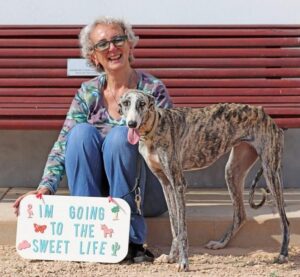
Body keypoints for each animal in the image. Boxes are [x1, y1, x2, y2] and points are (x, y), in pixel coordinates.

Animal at [118, 89, 290, 270]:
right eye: (126, 103)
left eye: (142, 104)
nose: (131, 124)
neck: (155, 127)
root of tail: (266, 115)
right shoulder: (165, 183)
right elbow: (174, 226)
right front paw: (171, 257)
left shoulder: (178, 184)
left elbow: (182, 229)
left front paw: (183, 263)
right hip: (232, 171)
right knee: (240, 215)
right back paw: (220, 244)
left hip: (271, 171)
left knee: (284, 220)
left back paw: (283, 254)